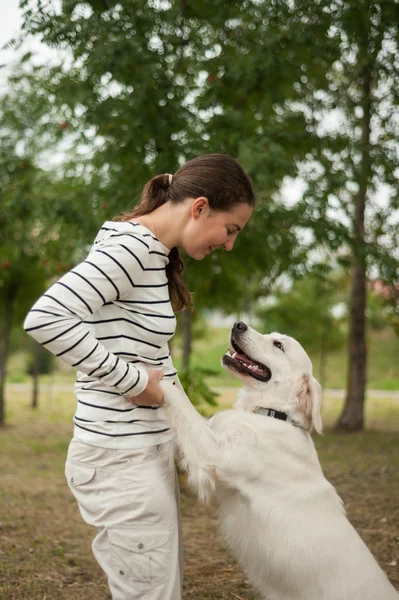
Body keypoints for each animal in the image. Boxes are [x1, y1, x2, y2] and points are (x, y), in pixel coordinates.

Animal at [161, 324, 398, 600]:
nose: (238, 324)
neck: (273, 414)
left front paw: (153, 376)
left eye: (279, 345)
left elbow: (181, 402)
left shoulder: (214, 455)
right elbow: (184, 402)